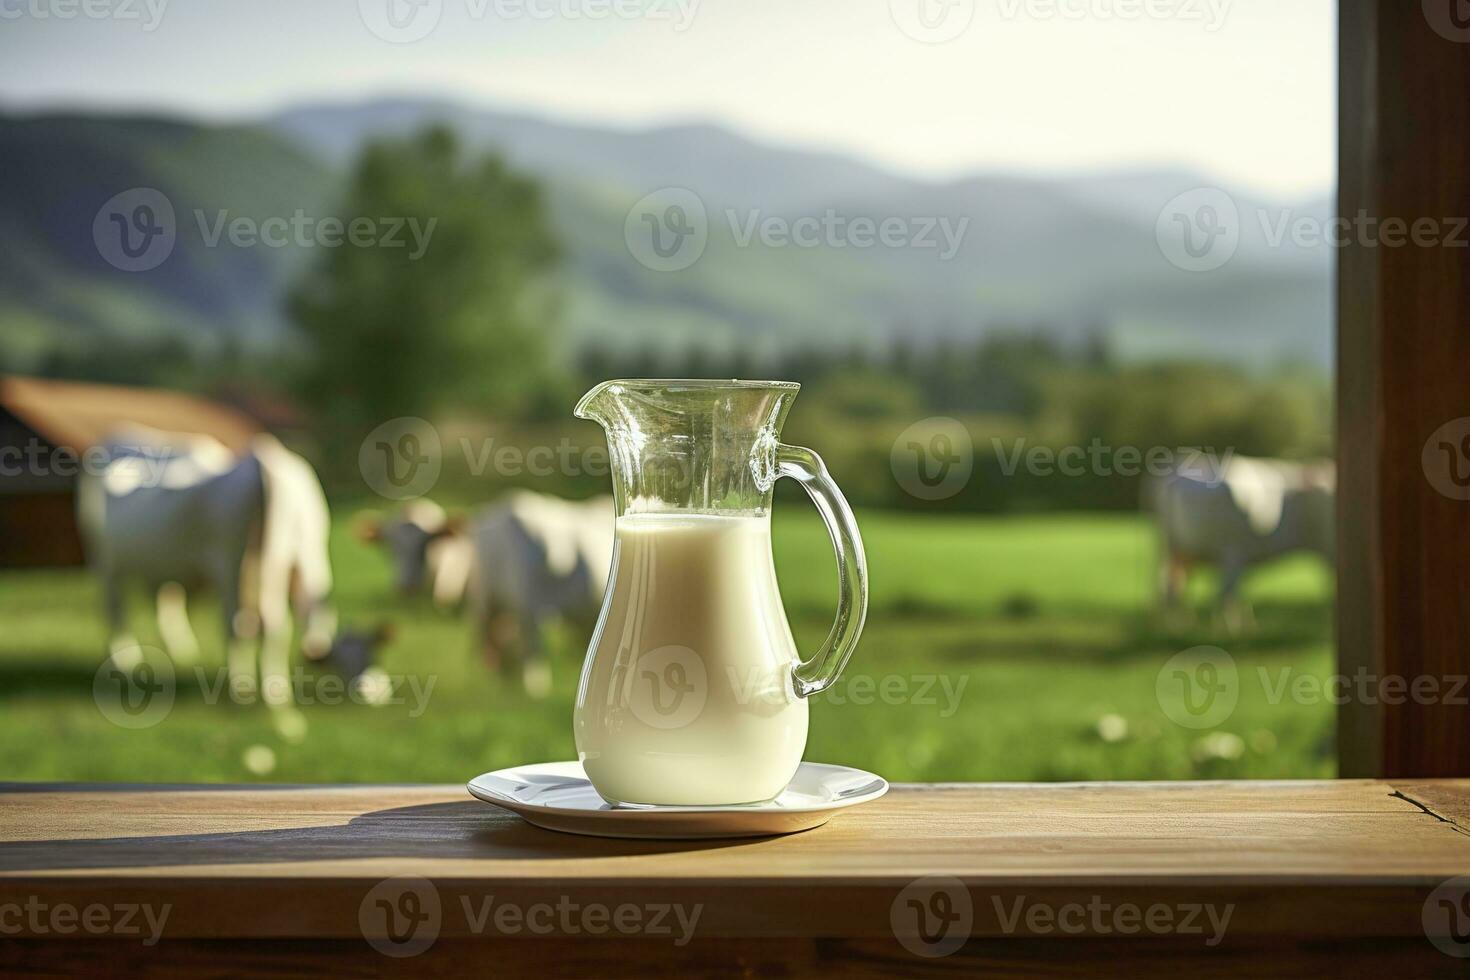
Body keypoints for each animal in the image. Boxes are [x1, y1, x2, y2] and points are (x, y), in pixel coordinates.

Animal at [77, 429, 355, 714]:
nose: (361, 691)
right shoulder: (232, 566)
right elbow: (248, 626)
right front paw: (251, 692)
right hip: (108, 561)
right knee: (116, 608)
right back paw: (125, 662)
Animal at [1152, 455, 1340, 631]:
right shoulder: (1328, 548)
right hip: (1228, 552)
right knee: (1220, 592)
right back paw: (1226, 628)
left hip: (1182, 550)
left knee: (1175, 586)